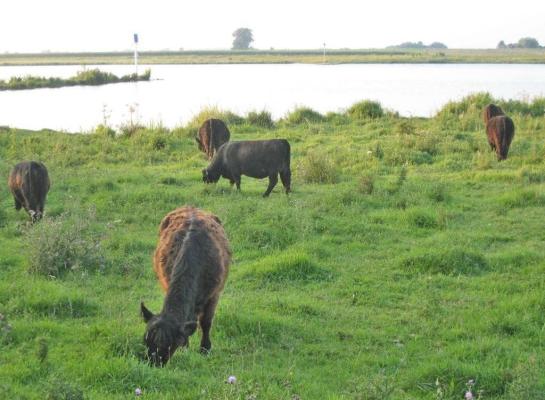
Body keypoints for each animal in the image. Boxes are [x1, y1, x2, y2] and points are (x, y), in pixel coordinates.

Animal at [140, 206, 230, 366]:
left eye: (170, 344)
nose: (153, 364)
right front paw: (185, 348)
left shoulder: (214, 294)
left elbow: (206, 322)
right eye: (146, 341)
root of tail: (191, 207)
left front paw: (205, 348)